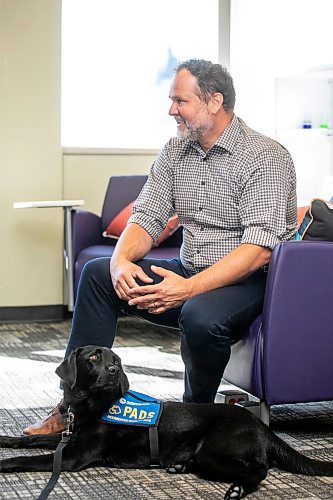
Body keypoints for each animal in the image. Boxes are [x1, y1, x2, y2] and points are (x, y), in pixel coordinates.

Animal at [0, 346, 332, 498]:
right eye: (93, 358)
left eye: (116, 361)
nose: (113, 371)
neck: (90, 406)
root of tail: (261, 425)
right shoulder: (67, 437)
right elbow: (29, 440)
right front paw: (6, 439)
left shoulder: (72, 456)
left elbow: (29, 459)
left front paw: (4, 463)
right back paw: (180, 465)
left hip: (216, 450)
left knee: (260, 469)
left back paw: (237, 488)